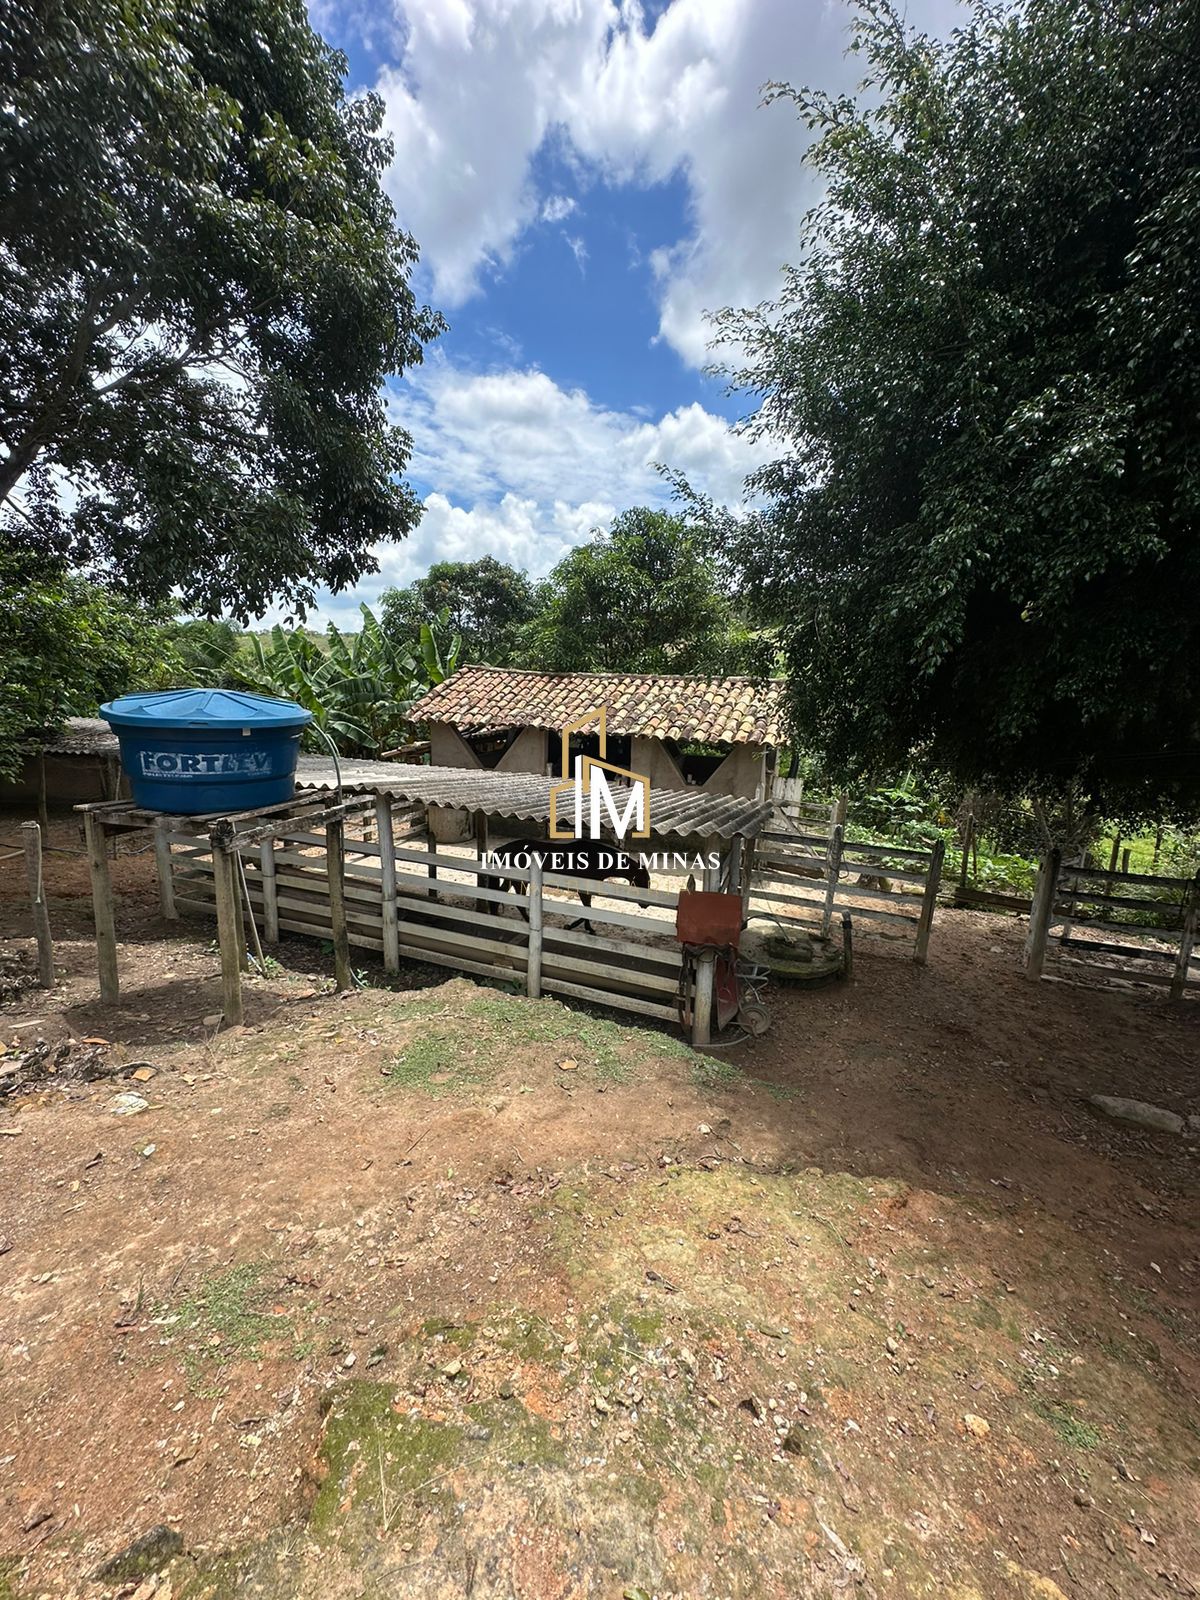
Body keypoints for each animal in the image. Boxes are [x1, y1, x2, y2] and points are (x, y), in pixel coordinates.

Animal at [483, 838, 652, 934]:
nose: (645, 905)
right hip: (519, 881)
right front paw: (573, 927)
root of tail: (500, 849)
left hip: (513, 880)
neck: (595, 858)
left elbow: (588, 909)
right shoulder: (583, 890)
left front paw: (587, 928)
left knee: (499, 896)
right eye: (644, 880)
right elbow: (587, 909)